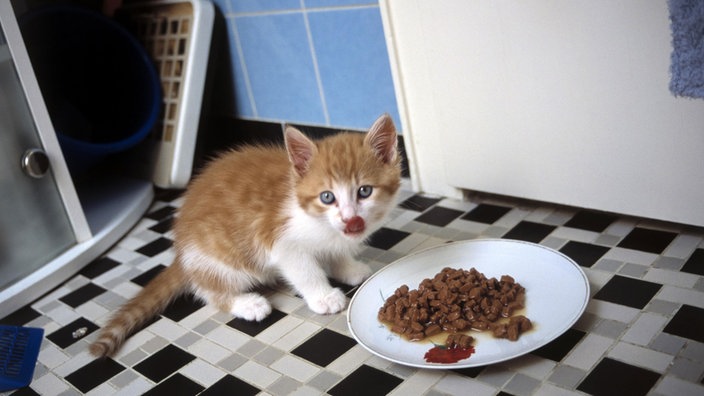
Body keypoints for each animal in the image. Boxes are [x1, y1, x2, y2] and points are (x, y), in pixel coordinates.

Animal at [91, 113, 402, 358]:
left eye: (364, 191)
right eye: (327, 197)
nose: (351, 220)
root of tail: (181, 254)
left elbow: (335, 251)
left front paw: (347, 267)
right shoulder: (282, 241)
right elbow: (304, 271)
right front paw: (323, 297)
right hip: (218, 259)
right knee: (207, 290)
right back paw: (247, 303)